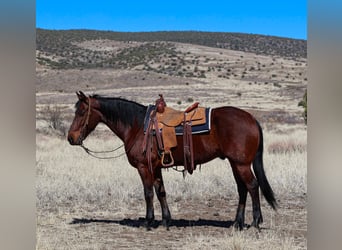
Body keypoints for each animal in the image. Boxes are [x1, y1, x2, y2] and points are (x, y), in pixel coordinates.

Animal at [68, 91, 276, 230]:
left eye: (81, 112)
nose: (71, 138)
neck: (137, 126)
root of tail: (251, 118)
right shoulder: (156, 168)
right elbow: (161, 192)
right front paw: (165, 221)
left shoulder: (144, 168)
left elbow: (148, 193)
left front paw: (148, 221)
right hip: (235, 164)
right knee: (242, 190)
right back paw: (237, 223)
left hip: (241, 165)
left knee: (252, 186)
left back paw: (255, 222)